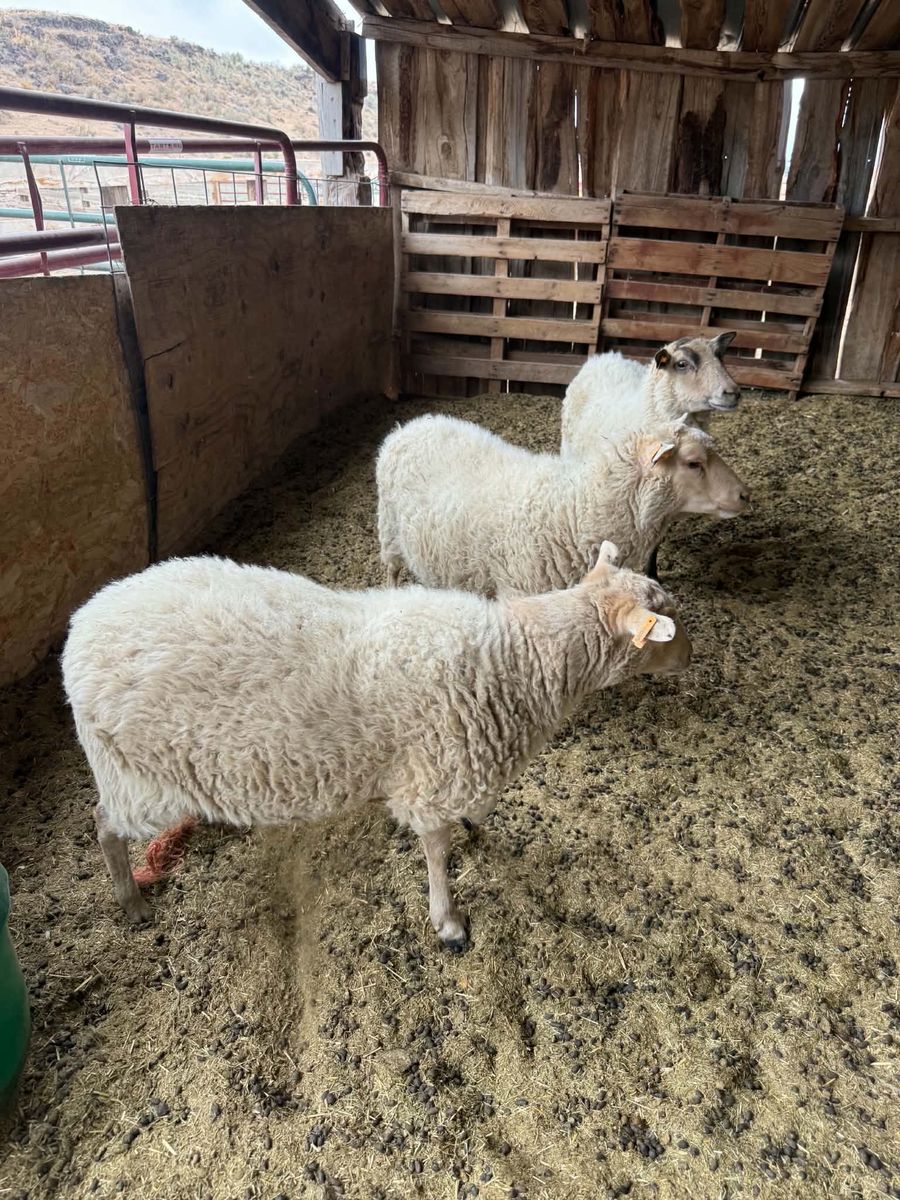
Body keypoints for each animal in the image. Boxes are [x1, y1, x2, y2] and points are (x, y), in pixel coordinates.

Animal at [61, 547, 691, 949]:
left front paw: (476, 829)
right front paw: (448, 923)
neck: (520, 656)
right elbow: (436, 852)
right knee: (103, 824)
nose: (693, 654)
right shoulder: (432, 779)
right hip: (137, 777)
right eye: (666, 624)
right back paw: (131, 903)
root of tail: (79, 628)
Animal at [376, 413, 749, 598]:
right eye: (693, 463)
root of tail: (410, 425)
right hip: (389, 529)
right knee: (392, 568)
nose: (744, 494)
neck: (575, 511)